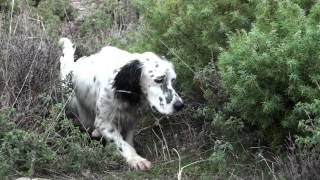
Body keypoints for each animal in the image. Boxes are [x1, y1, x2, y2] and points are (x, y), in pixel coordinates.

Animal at [58, 37, 184, 170]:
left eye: (173, 80)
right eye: (159, 80)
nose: (180, 105)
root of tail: (74, 66)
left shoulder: (130, 119)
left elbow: (128, 140)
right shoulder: (104, 122)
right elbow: (121, 143)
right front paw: (136, 159)